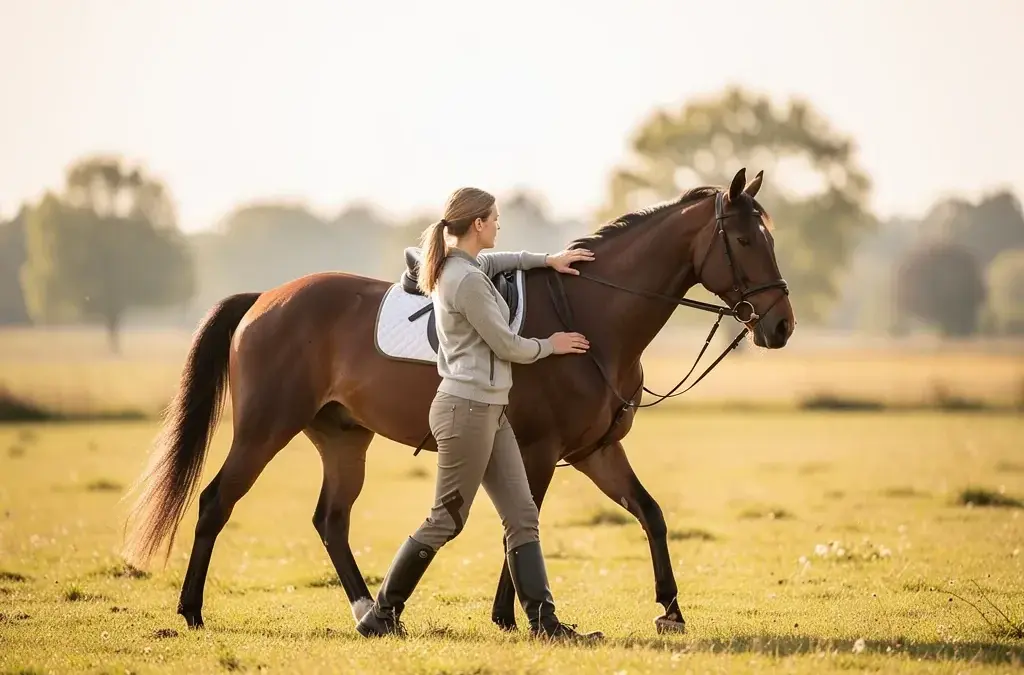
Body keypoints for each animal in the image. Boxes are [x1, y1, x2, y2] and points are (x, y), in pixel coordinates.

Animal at [120, 167, 795, 636]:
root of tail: (265, 299)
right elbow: (522, 527)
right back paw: (192, 611)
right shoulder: (540, 452)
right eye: (742, 238)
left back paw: (372, 611)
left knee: (331, 521)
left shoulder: (595, 452)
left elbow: (649, 514)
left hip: (343, 440)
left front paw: (670, 611)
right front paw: (518, 617)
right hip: (264, 431)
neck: (592, 318)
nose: (782, 325)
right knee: (216, 502)